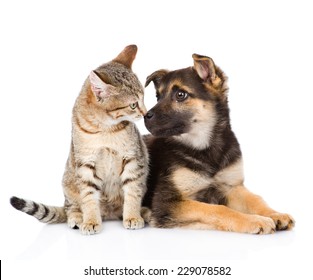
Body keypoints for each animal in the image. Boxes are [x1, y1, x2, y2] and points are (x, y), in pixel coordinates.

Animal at [10, 45, 149, 234]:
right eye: (133, 105)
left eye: (144, 98)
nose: (146, 113)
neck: (105, 129)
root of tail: (110, 213)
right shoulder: (85, 164)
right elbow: (89, 197)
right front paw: (90, 221)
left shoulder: (134, 158)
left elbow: (133, 191)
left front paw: (133, 216)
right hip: (68, 183)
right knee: (71, 207)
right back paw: (77, 218)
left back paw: (143, 212)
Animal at [143, 53, 294, 233]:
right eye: (158, 97)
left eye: (181, 95)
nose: (145, 116)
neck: (206, 146)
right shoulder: (167, 202)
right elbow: (217, 209)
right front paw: (255, 220)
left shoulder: (232, 186)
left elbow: (255, 199)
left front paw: (275, 214)